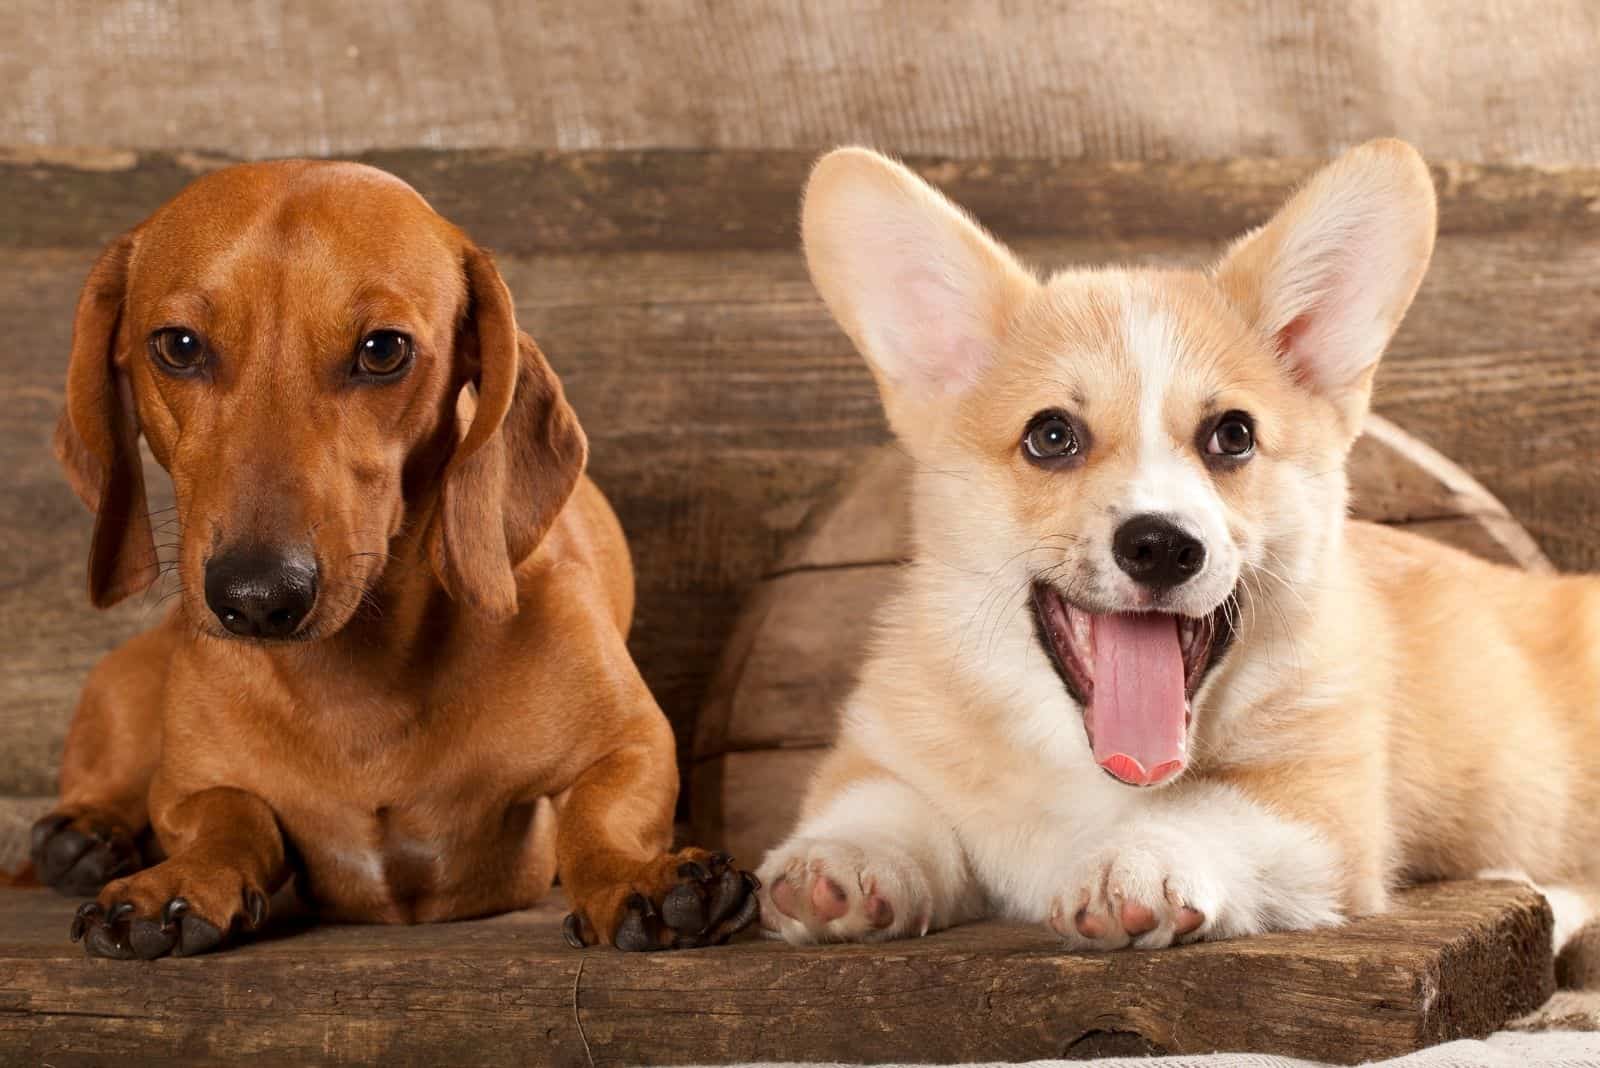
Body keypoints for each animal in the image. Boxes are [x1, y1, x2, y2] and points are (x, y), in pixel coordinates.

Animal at [755, 137, 1600, 946]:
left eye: (1233, 436)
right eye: (1051, 436)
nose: (1160, 545)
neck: (1090, 772)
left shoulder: (1320, 809)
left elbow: (1208, 809)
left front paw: (1135, 862)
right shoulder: (882, 743)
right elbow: (883, 800)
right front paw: (845, 861)